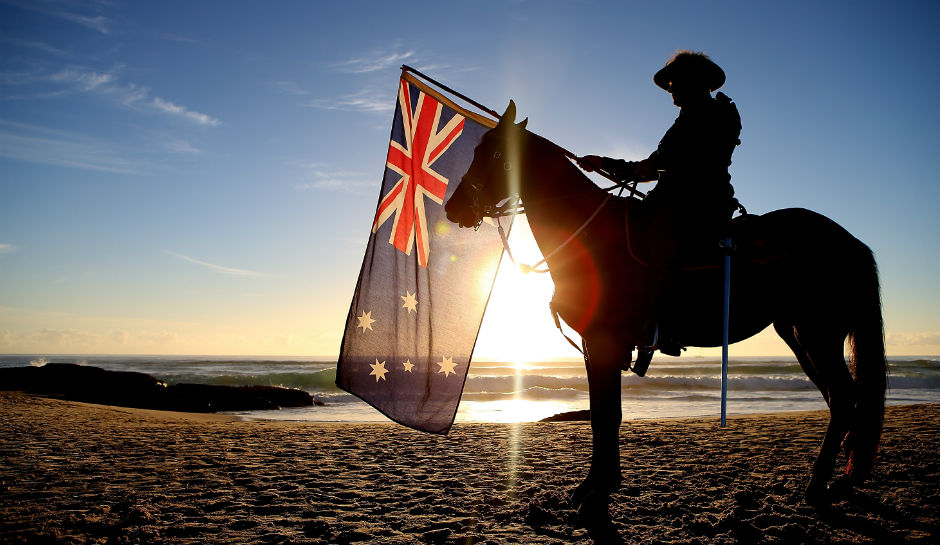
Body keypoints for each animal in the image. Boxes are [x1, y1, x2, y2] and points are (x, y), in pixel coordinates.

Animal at [444, 101, 884, 516]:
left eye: (495, 153)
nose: (455, 207)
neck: (592, 238)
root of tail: (849, 241)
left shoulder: (603, 341)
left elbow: (607, 415)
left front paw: (598, 492)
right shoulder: (594, 345)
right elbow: (604, 412)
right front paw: (595, 486)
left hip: (817, 334)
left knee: (844, 397)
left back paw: (819, 486)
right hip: (796, 334)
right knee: (841, 400)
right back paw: (838, 481)